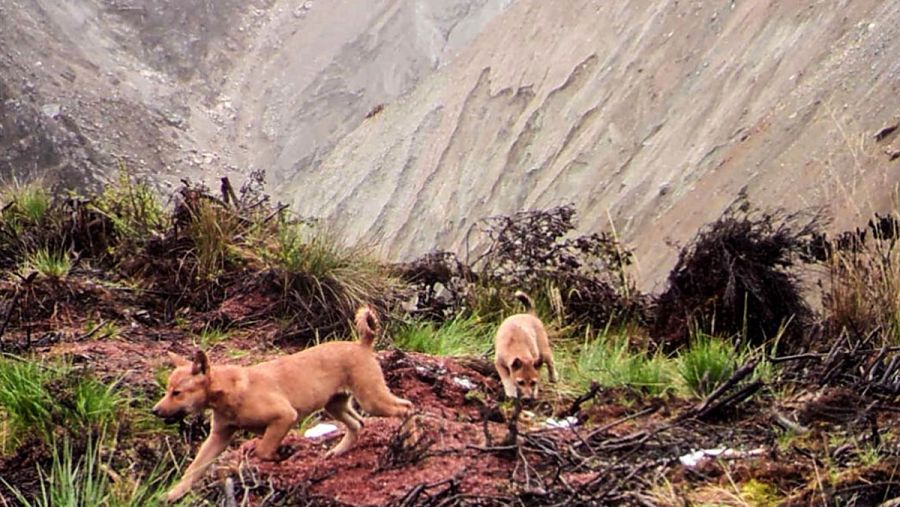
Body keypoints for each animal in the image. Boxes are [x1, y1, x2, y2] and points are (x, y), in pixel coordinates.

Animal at [152, 308, 412, 502]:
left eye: (177, 393)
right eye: (168, 391)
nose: (155, 411)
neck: (229, 391)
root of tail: (362, 343)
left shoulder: (284, 416)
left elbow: (263, 449)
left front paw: (280, 455)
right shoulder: (218, 437)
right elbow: (193, 469)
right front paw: (173, 494)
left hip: (372, 398)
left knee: (406, 408)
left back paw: (405, 441)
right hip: (334, 404)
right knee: (358, 424)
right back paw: (338, 451)